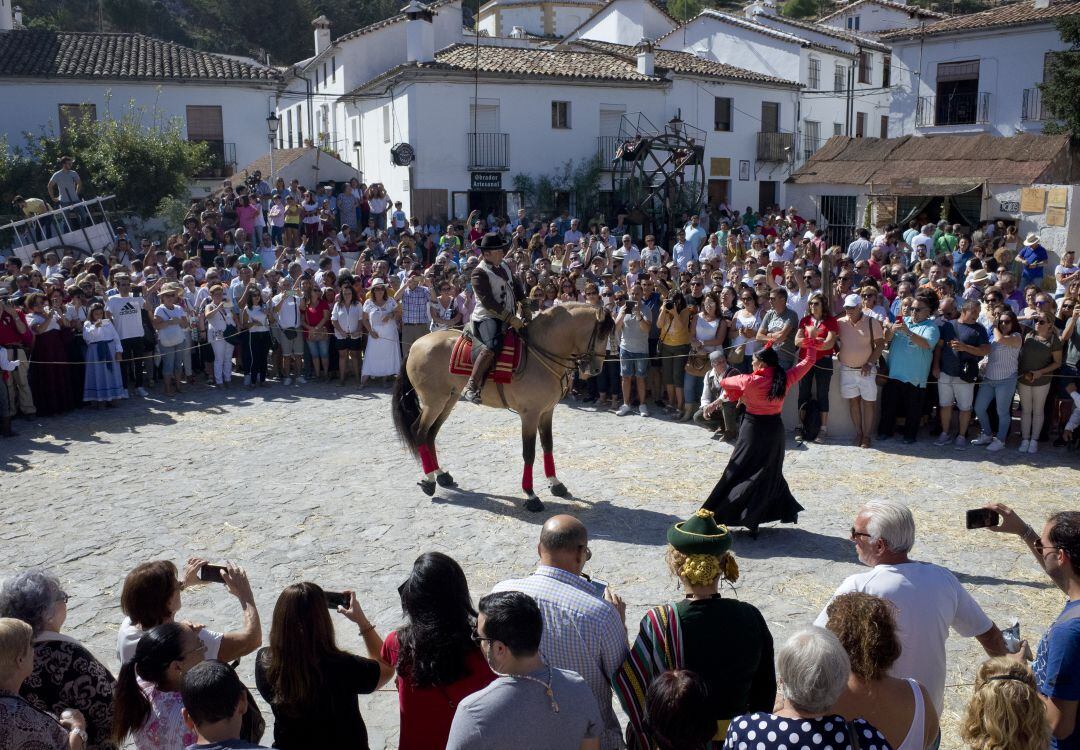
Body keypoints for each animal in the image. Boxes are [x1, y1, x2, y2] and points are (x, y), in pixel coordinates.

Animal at [395, 302, 617, 514]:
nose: (596, 369)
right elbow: (529, 453)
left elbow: (548, 445)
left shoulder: (547, 412)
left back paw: (441, 475)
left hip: (448, 401)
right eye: (600, 334)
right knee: (419, 431)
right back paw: (429, 480)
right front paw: (531, 495)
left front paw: (555, 483)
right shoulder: (530, 415)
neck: (539, 355)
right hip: (434, 402)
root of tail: (416, 344)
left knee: (431, 434)